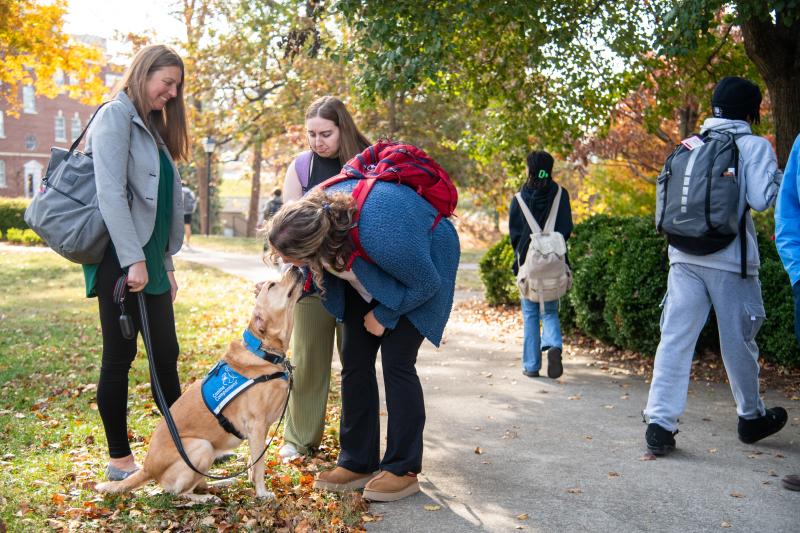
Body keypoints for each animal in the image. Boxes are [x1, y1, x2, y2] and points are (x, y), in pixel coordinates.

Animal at [97, 268, 304, 500]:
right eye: (272, 285)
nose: (294, 267)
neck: (263, 353)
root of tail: (148, 468)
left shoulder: (262, 429)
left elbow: (254, 462)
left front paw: (252, 483)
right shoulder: (257, 425)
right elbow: (258, 466)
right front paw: (261, 492)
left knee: (200, 482)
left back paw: (222, 482)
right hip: (201, 447)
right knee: (179, 493)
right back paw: (205, 497)